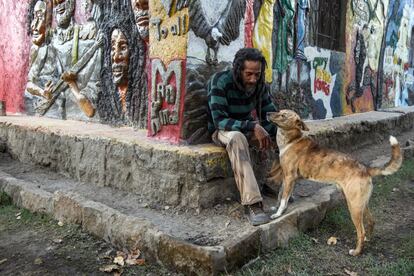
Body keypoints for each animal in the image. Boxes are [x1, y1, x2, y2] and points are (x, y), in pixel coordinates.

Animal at [266, 109, 402, 256]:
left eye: (283, 115)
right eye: (279, 111)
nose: (267, 114)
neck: (292, 140)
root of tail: (365, 169)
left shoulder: (289, 177)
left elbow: (283, 198)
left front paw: (278, 214)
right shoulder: (286, 178)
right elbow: (281, 194)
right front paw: (276, 208)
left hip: (353, 206)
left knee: (361, 231)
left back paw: (356, 252)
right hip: (361, 204)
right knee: (371, 222)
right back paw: (367, 240)